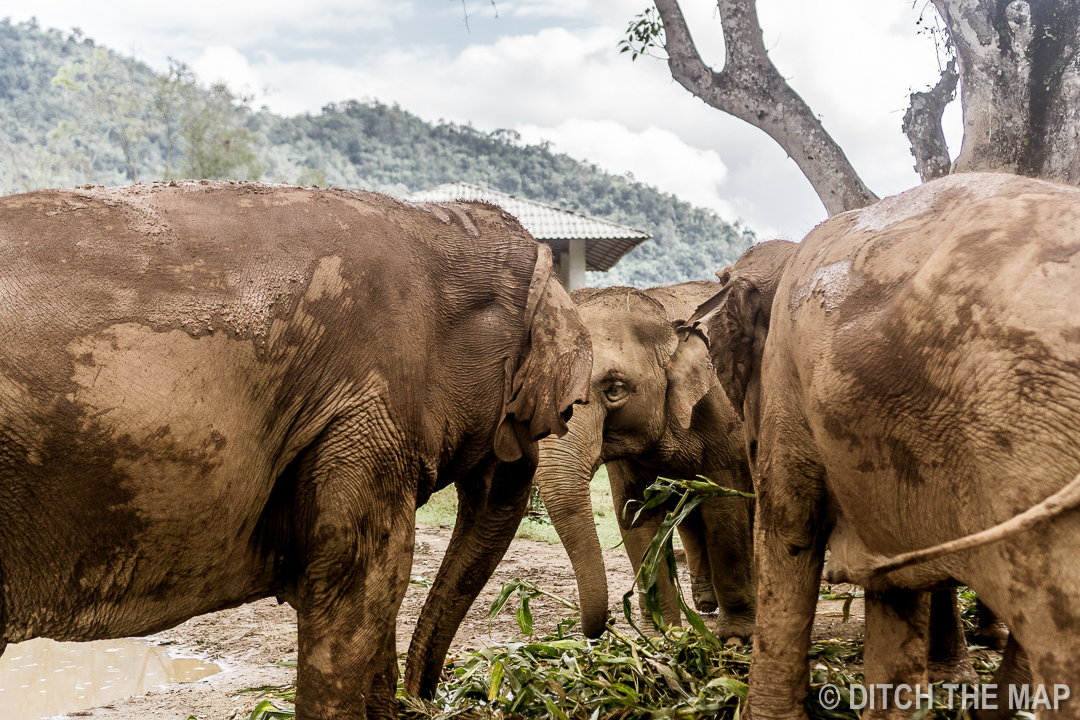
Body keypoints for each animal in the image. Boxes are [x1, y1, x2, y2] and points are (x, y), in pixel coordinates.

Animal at [535, 280, 756, 643]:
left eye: (614, 389)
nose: (610, 620)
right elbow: (634, 512)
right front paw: (660, 635)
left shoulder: (722, 415)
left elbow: (724, 508)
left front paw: (735, 637)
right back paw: (704, 602)